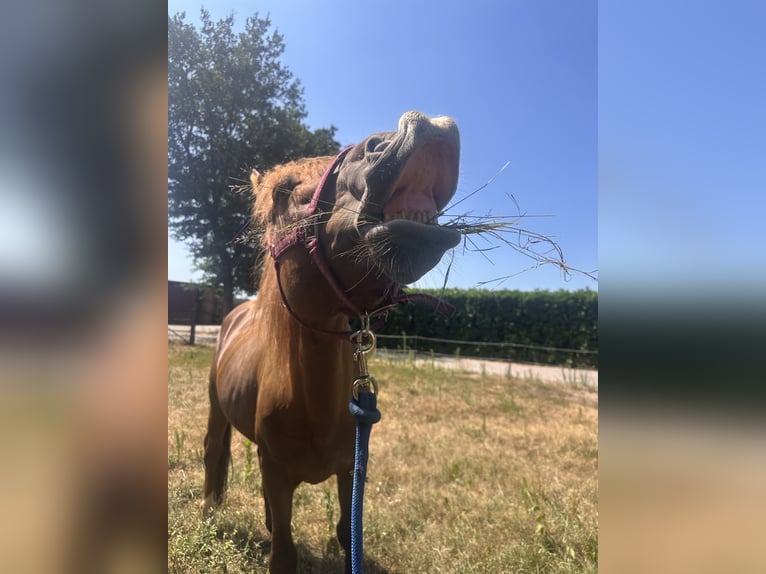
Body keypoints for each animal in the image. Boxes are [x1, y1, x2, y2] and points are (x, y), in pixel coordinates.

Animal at [202, 111, 461, 573]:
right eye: (285, 190)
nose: (427, 125)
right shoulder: (277, 473)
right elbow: (283, 553)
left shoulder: (350, 471)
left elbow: (346, 533)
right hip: (217, 410)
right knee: (213, 453)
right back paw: (209, 515)